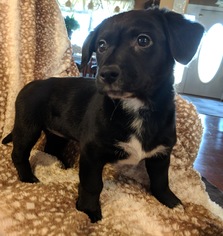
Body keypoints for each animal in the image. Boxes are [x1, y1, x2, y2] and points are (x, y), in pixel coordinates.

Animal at [2, 8, 204, 222]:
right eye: (101, 45)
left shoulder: (161, 154)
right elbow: (92, 185)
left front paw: (171, 202)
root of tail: (31, 84)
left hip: (57, 134)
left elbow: (161, 181)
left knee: (51, 149)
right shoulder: (92, 153)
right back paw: (28, 178)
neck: (136, 108)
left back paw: (61, 165)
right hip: (27, 126)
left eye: (143, 40)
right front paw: (89, 212)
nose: (106, 74)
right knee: (19, 154)